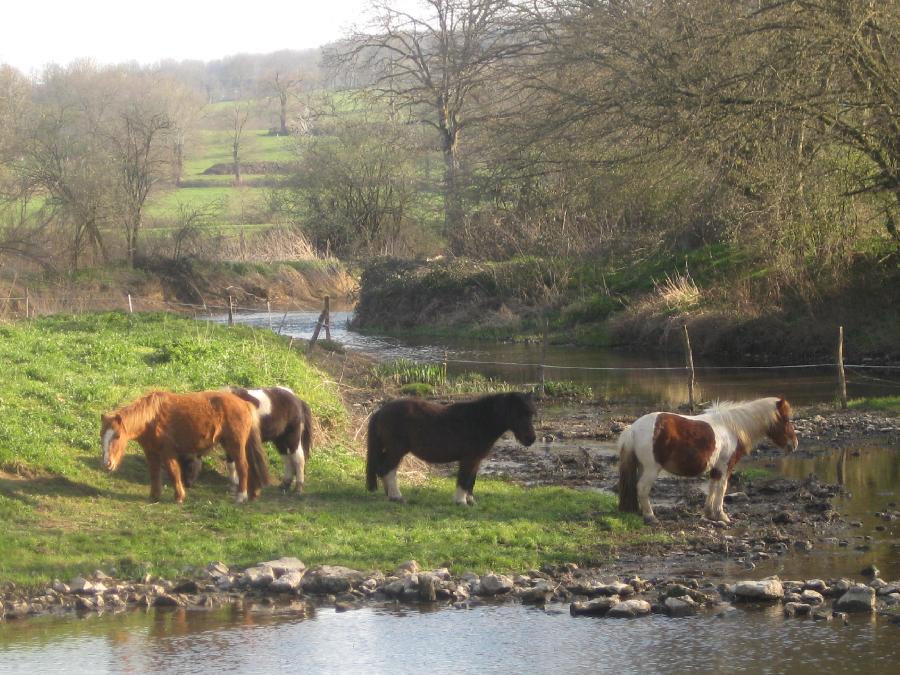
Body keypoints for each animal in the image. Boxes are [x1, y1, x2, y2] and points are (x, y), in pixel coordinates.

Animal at [100, 388, 270, 504]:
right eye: (101, 435)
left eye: (117, 436)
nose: (107, 464)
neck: (151, 419)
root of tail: (245, 404)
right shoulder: (151, 453)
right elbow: (154, 474)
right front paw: (154, 496)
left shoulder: (167, 453)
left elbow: (173, 472)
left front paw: (179, 497)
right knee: (252, 468)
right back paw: (253, 494)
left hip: (235, 445)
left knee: (243, 467)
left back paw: (241, 496)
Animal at [179, 388, 312, 494]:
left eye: (189, 463)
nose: (187, 484)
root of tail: (298, 400)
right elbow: (231, 464)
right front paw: (234, 485)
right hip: (280, 440)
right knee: (287, 460)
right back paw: (284, 485)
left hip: (292, 438)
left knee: (298, 459)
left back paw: (298, 488)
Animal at [364, 390, 536, 508]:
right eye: (519, 414)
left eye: (531, 414)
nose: (531, 439)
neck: (479, 420)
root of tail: (380, 412)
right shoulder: (468, 459)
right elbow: (463, 479)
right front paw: (460, 502)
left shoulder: (476, 460)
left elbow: (471, 481)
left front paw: (470, 501)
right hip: (396, 450)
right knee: (387, 470)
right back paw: (397, 497)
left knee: (382, 469)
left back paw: (389, 495)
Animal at [616, 398, 800, 524]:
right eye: (786, 419)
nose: (794, 444)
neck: (731, 428)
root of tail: (633, 429)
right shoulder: (725, 466)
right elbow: (722, 488)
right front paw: (722, 515)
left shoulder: (716, 468)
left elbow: (712, 488)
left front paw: (709, 513)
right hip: (651, 469)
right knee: (642, 488)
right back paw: (650, 516)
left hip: (642, 467)